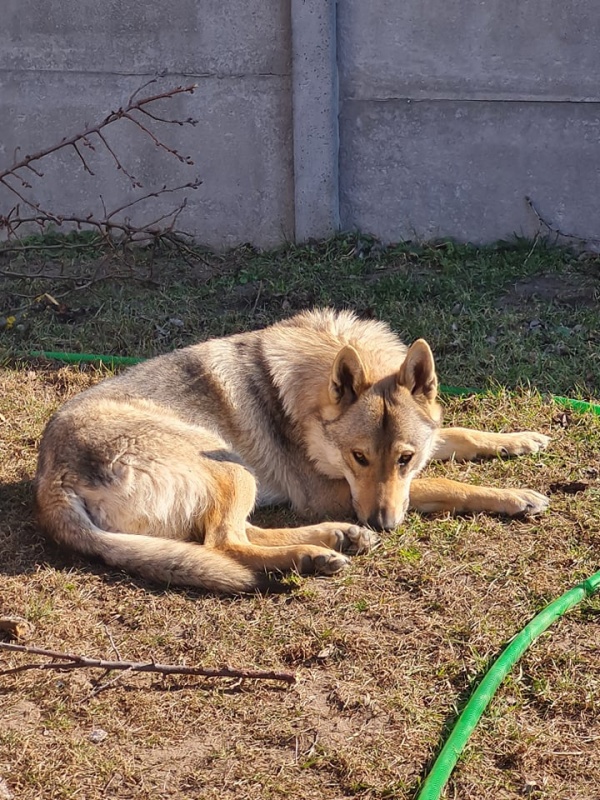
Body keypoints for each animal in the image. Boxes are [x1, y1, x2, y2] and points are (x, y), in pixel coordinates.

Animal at [32, 310, 548, 592]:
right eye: (359, 458)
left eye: (404, 458)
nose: (381, 523)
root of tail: (51, 479)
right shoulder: (332, 492)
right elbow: (446, 482)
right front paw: (515, 496)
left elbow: (458, 434)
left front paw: (521, 440)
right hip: (231, 466)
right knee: (224, 541)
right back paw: (319, 551)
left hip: (237, 477)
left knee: (238, 533)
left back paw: (335, 541)